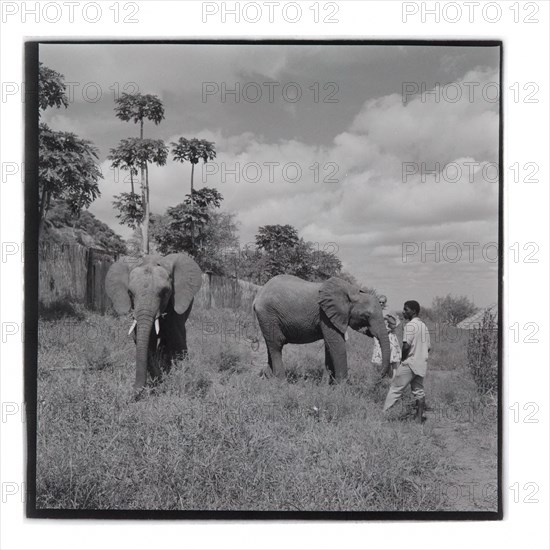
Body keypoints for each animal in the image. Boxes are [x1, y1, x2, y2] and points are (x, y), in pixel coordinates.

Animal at [105, 252, 203, 394]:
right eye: (130, 293)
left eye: (165, 292)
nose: (132, 389)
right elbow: (145, 341)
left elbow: (177, 338)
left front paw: (184, 378)